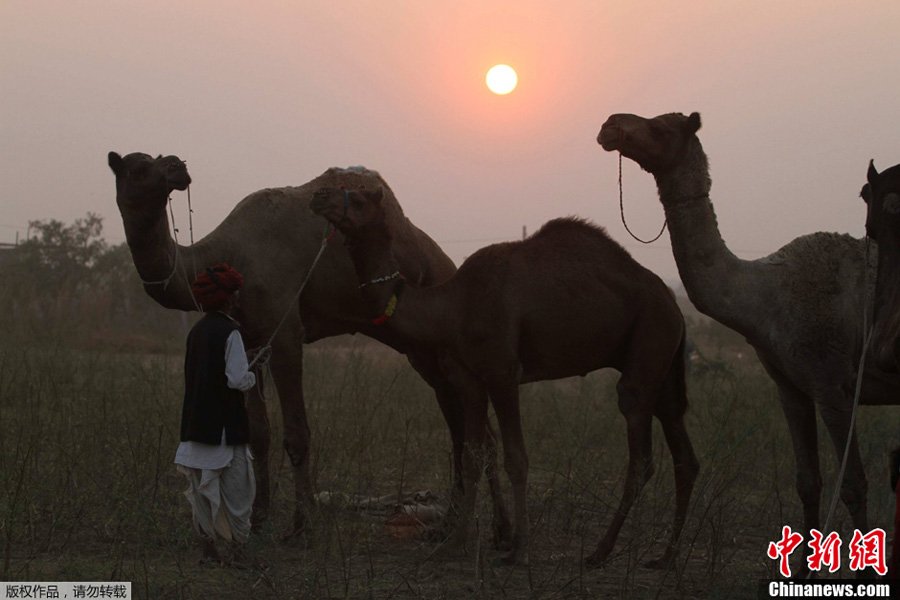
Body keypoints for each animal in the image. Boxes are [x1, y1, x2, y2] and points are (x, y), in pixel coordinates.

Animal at [107, 152, 512, 540]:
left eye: (154, 163)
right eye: (140, 166)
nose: (178, 167)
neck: (233, 254)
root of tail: (446, 265)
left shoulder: (286, 333)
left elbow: (297, 434)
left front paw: (303, 524)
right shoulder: (250, 341)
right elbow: (259, 434)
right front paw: (258, 519)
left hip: (437, 344)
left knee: (472, 431)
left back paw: (494, 529)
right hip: (422, 350)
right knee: (462, 429)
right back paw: (458, 525)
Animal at [306, 186, 700, 568]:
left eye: (358, 197)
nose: (319, 195)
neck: (453, 306)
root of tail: (675, 303)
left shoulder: (503, 373)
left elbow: (516, 459)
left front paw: (516, 549)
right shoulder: (469, 379)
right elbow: (472, 455)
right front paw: (457, 544)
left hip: (650, 337)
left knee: (640, 449)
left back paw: (599, 552)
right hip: (663, 368)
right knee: (684, 453)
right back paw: (665, 557)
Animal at [596, 113, 896, 548]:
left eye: (662, 126)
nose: (610, 124)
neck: (766, 296)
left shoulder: (833, 385)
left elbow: (854, 484)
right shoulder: (790, 387)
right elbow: (808, 483)